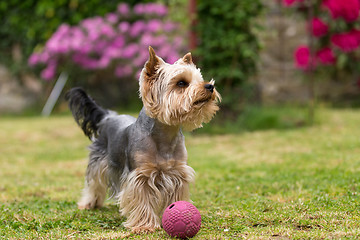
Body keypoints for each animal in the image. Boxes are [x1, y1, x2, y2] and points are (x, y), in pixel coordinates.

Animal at [66, 46, 221, 232]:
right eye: (181, 83)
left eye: (200, 79)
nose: (210, 86)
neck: (165, 135)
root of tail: (108, 116)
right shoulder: (140, 176)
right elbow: (142, 199)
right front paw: (144, 226)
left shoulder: (177, 173)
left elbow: (175, 196)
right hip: (99, 161)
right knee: (93, 182)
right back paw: (89, 203)